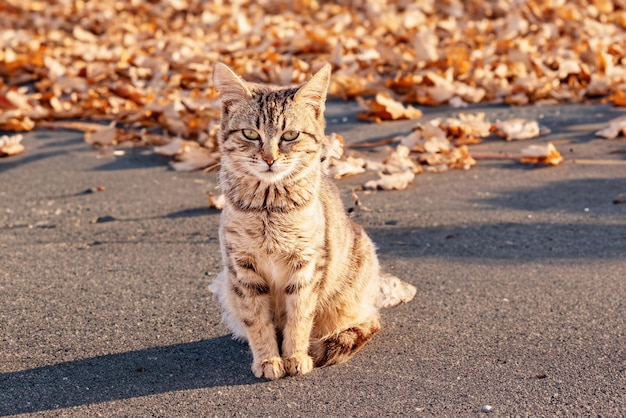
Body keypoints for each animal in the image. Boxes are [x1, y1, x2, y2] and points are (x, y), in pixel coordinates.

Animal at [208, 62, 414, 378]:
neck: (269, 207)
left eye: (290, 135)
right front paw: (268, 359)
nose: (269, 159)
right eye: (250, 134)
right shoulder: (242, 268)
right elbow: (257, 322)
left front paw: (295, 356)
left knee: (368, 321)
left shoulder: (306, 265)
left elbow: (300, 317)